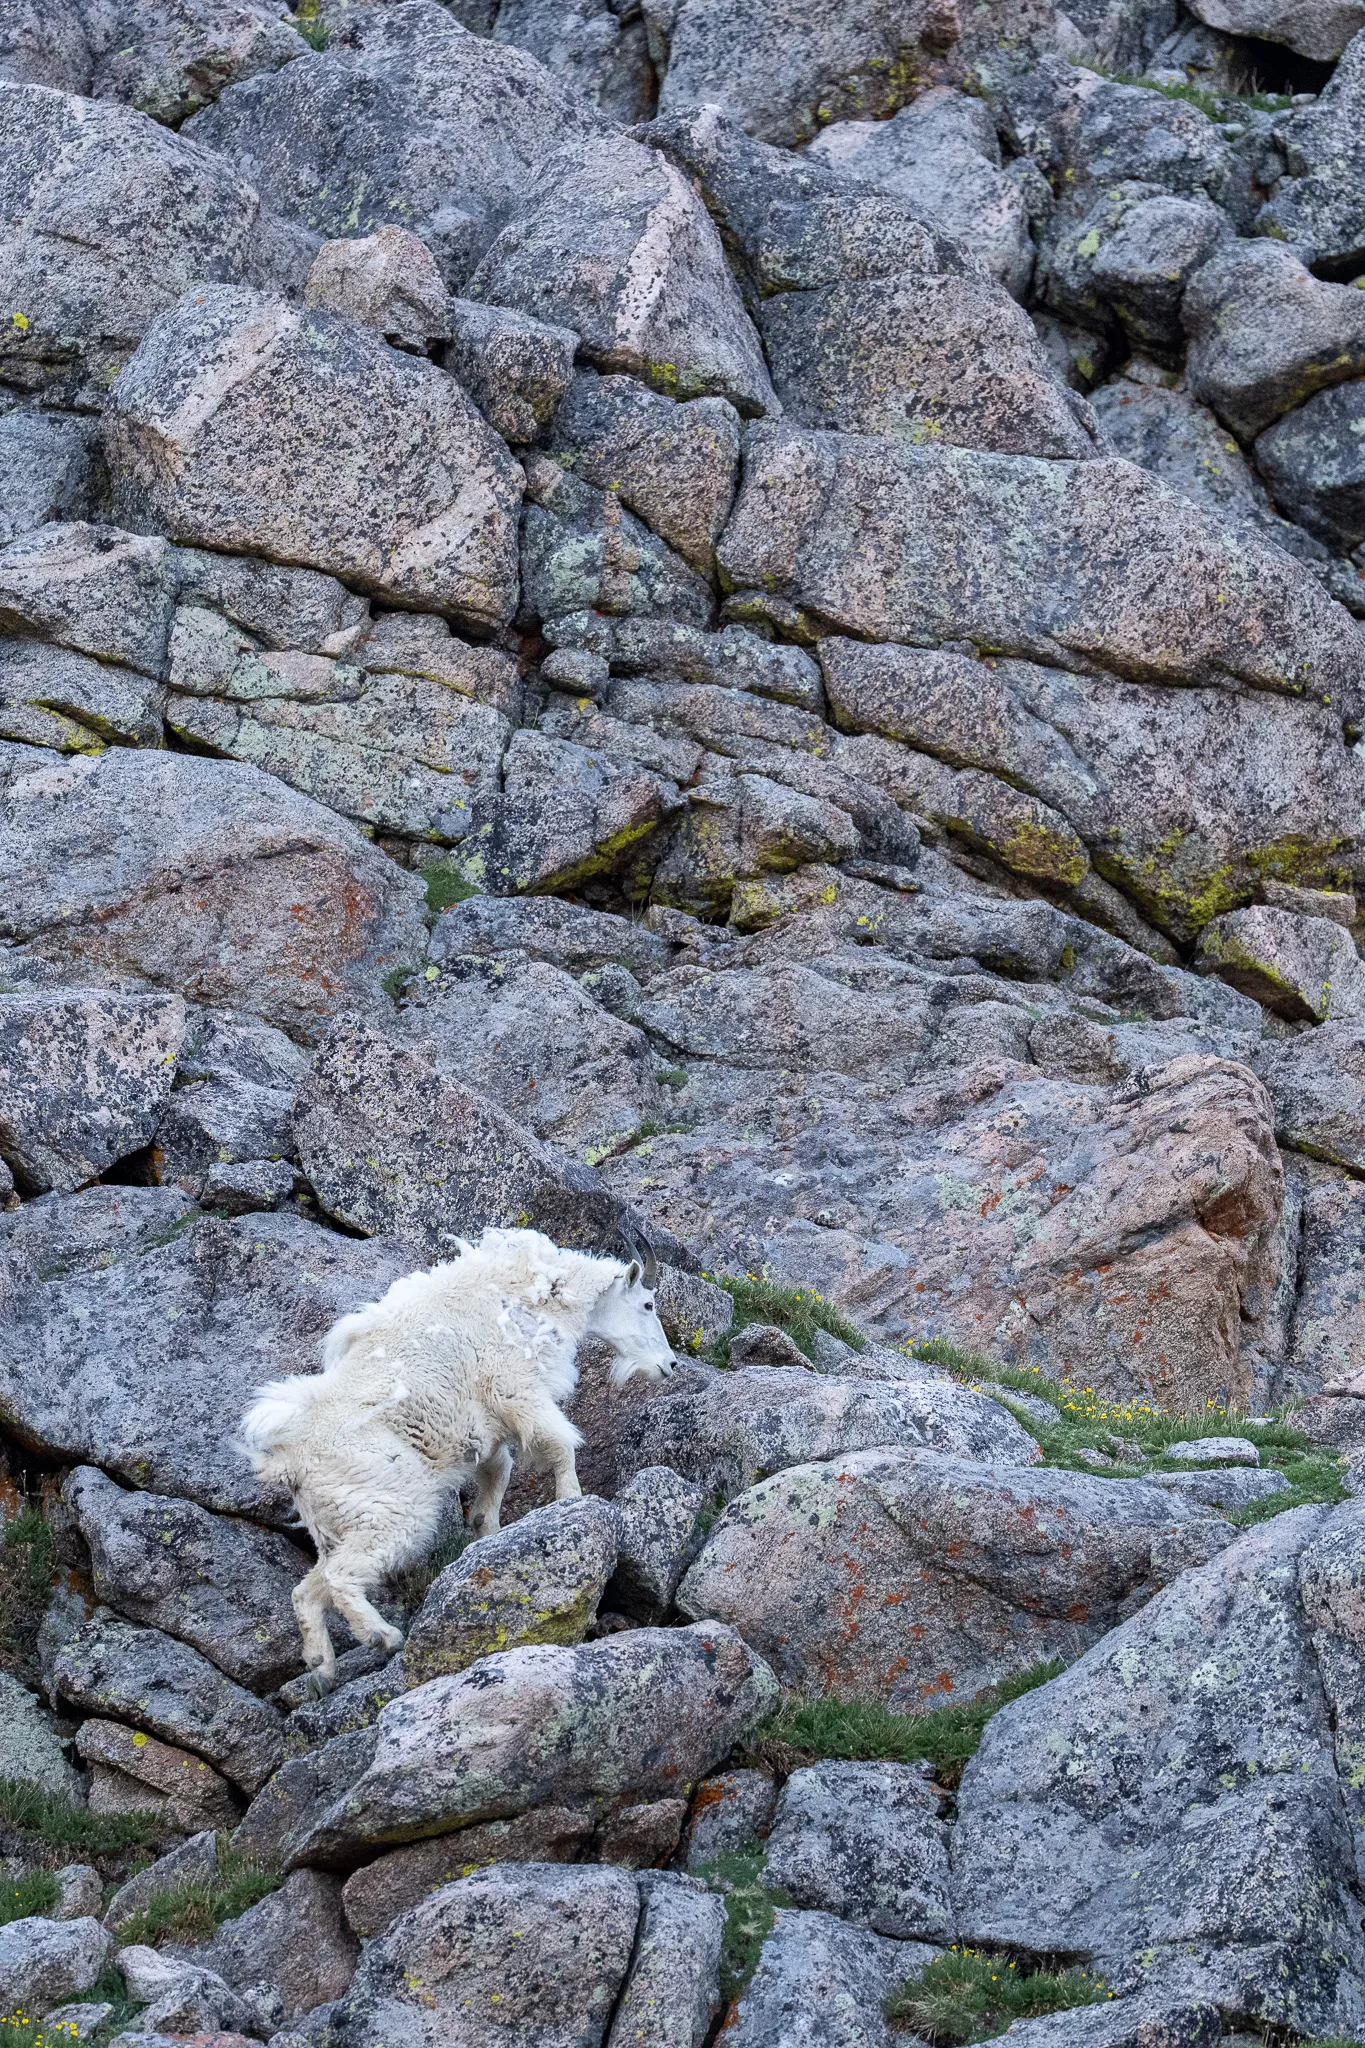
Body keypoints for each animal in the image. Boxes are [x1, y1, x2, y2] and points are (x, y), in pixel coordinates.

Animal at [237, 1226, 674, 1693]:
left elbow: (498, 1476)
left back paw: (322, 1670)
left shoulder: (487, 1429)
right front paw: (571, 1502)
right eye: (648, 1304)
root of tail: (289, 1465)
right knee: (341, 1577)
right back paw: (383, 1636)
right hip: (393, 1510)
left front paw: (489, 1535)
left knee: (307, 1591)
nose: (669, 1364)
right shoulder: (519, 1391)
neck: (537, 1294)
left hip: (341, 1524)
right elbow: (562, 1445)